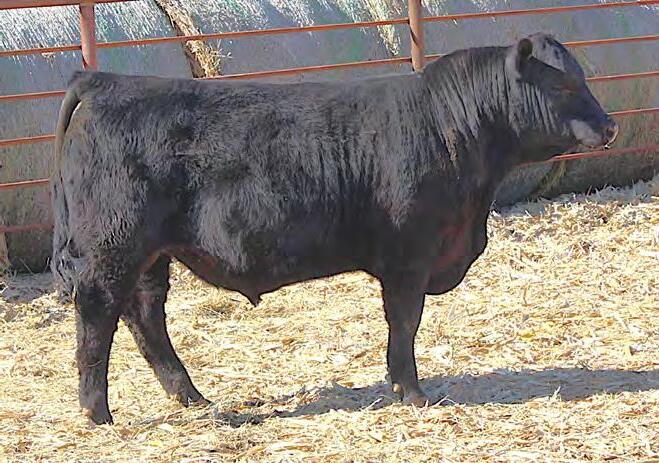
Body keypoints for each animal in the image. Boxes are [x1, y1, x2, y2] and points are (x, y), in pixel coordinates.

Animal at [51, 33, 618, 424]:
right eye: (564, 83)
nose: (610, 125)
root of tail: (105, 80)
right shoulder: (408, 255)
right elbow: (404, 324)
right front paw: (412, 393)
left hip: (150, 254)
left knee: (145, 316)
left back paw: (191, 397)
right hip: (114, 247)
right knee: (97, 314)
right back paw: (97, 413)